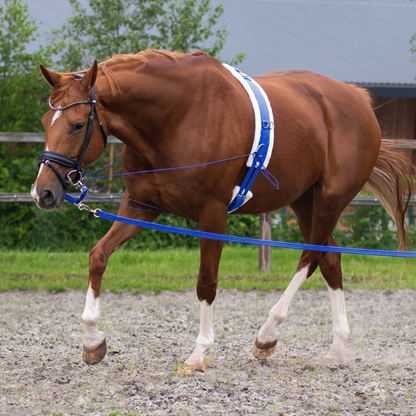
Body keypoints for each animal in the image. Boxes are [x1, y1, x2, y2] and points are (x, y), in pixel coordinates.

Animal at [31, 50, 412, 372]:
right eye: (45, 121)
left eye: (78, 124)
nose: (42, 192)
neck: (176, 118)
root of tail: (359, 100)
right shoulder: (140, 207)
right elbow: (98, 256)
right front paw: (92, 341)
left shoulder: (212, 216)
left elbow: (207, 282)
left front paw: (198, 354)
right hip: (305, 200)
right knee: (329, 257)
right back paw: (335, 348)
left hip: (331, 200)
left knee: (310, 256)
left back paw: (267, 335)